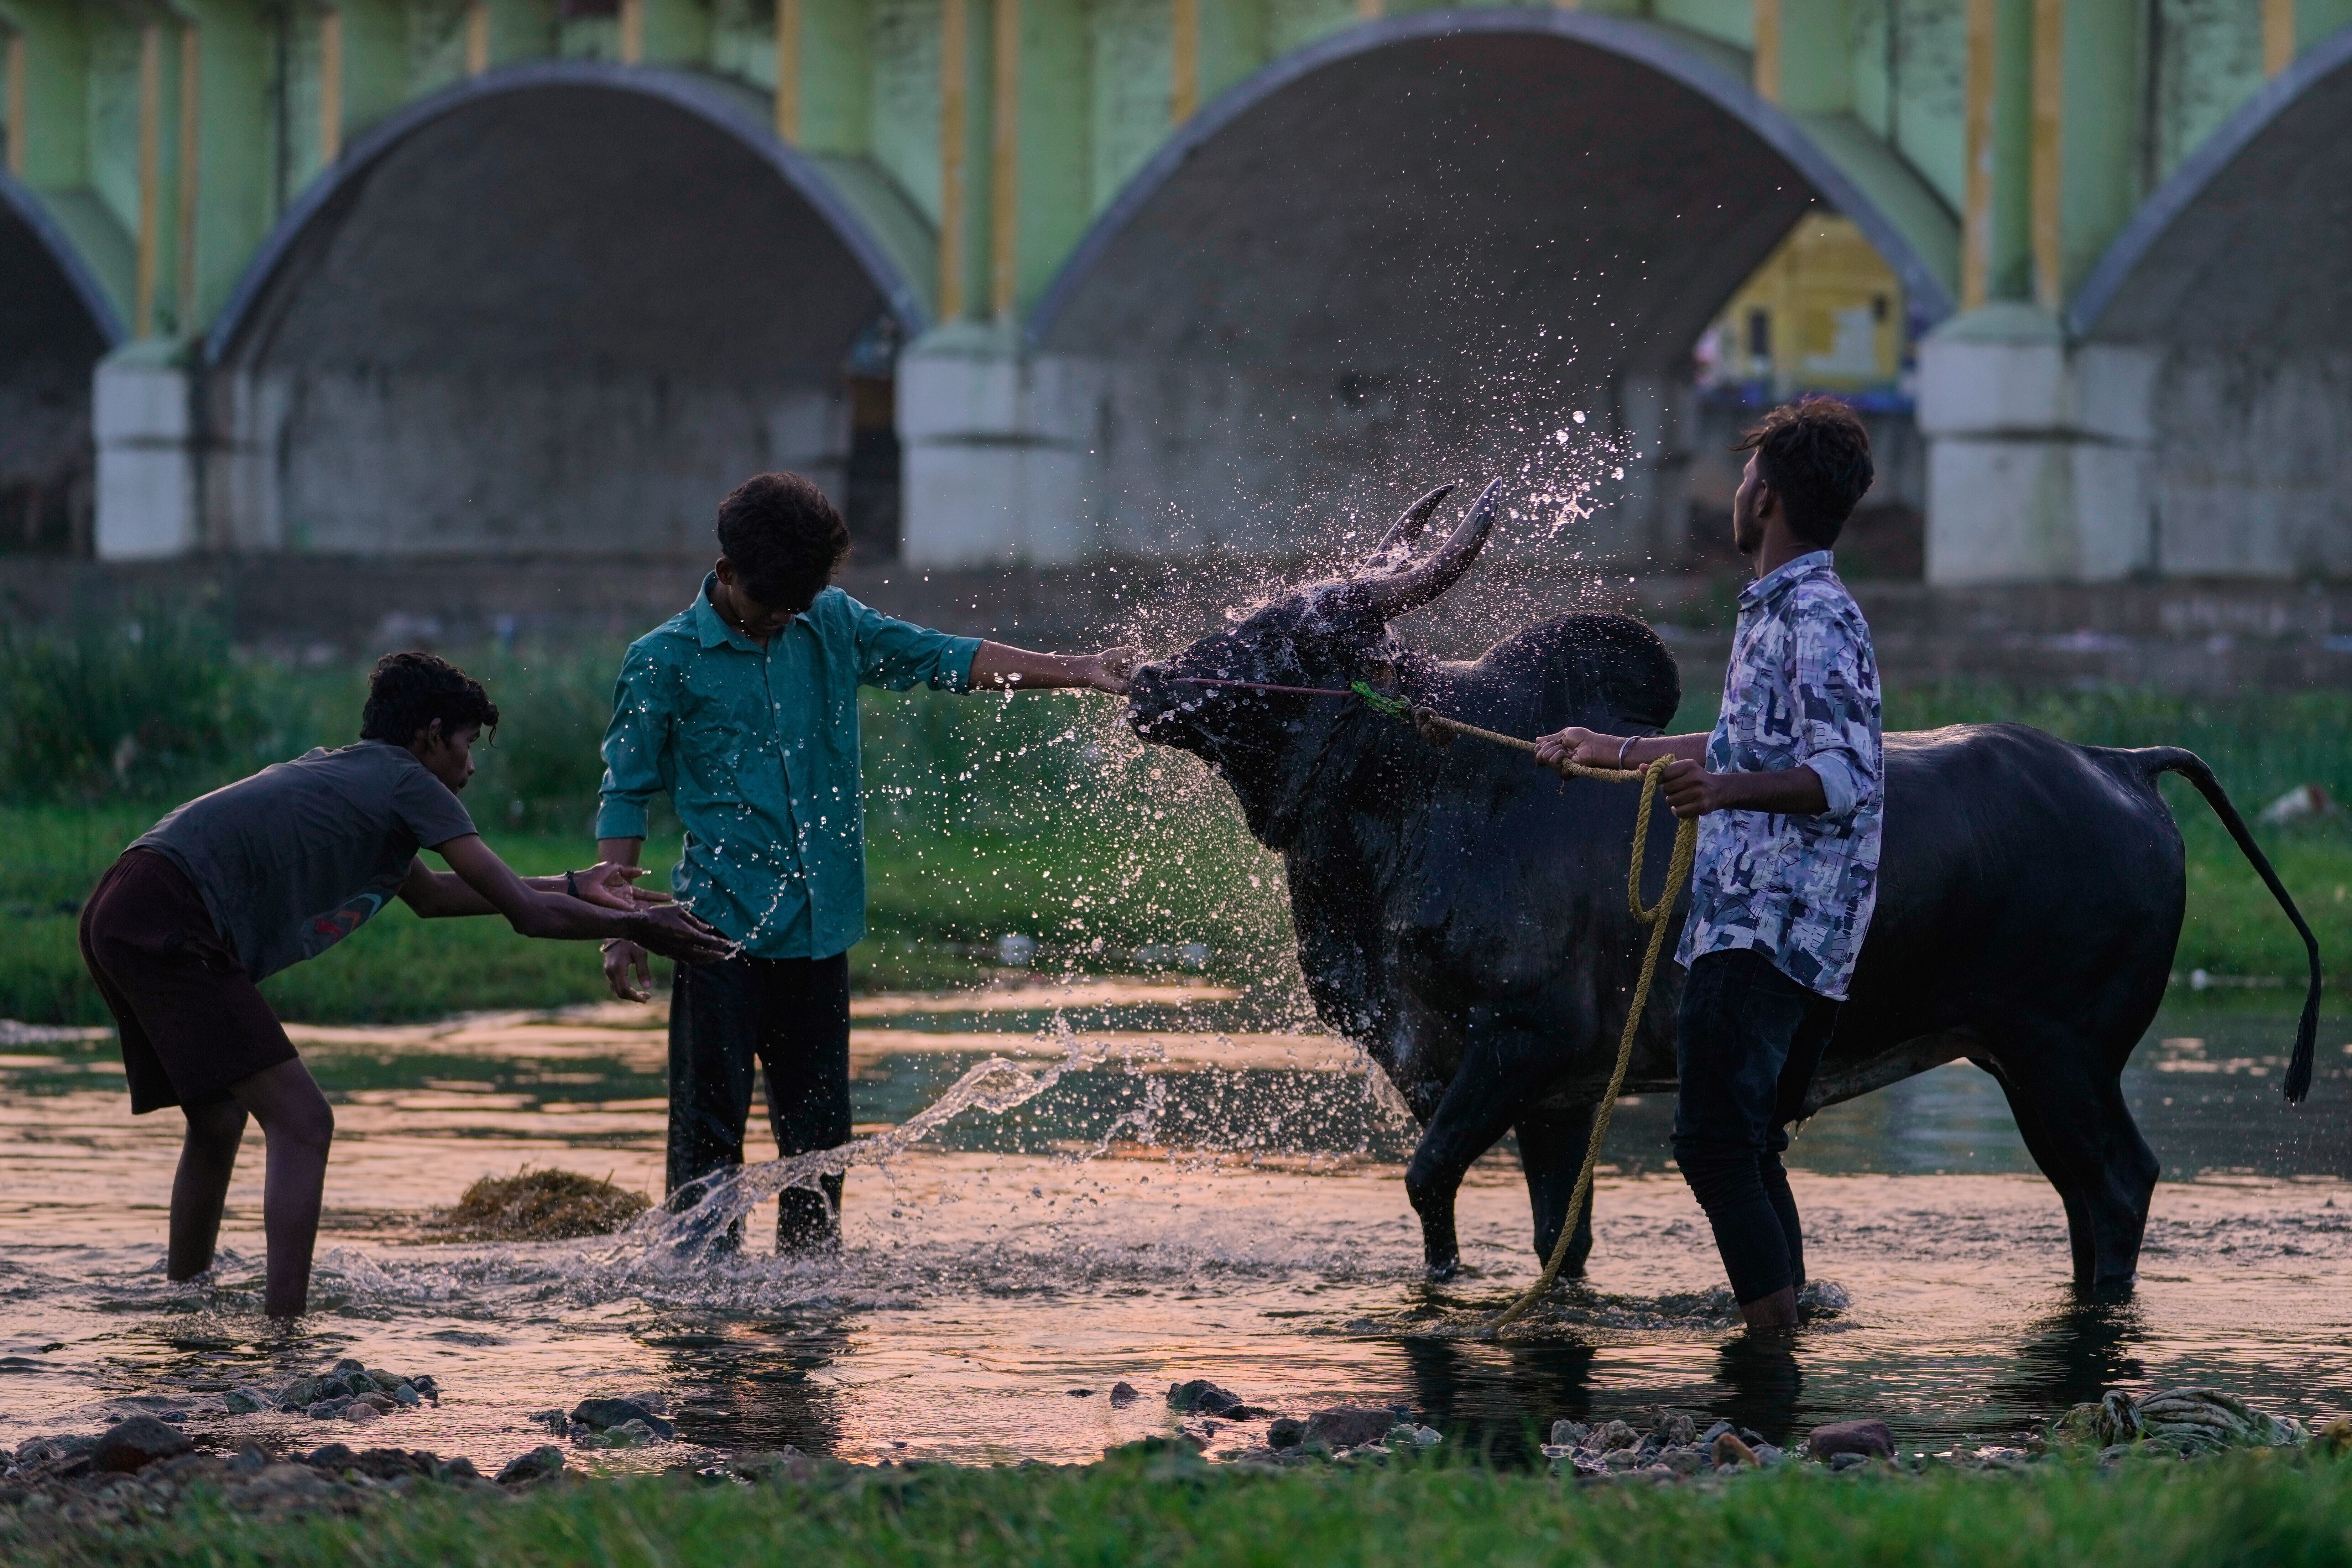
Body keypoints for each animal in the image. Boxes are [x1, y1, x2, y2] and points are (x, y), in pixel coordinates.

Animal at [1123, 481, 2322, 1295]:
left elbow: (1426, 1182)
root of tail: (2123, 764)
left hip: (2059, 1054)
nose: (1144, 681)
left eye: (1296, 635)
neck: (1429, 792)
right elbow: (1555, 1236)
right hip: (2023, 1059)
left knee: (2116, 1184)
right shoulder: (1548, 1096)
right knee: (2088, 1192)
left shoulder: (1521, 1043)